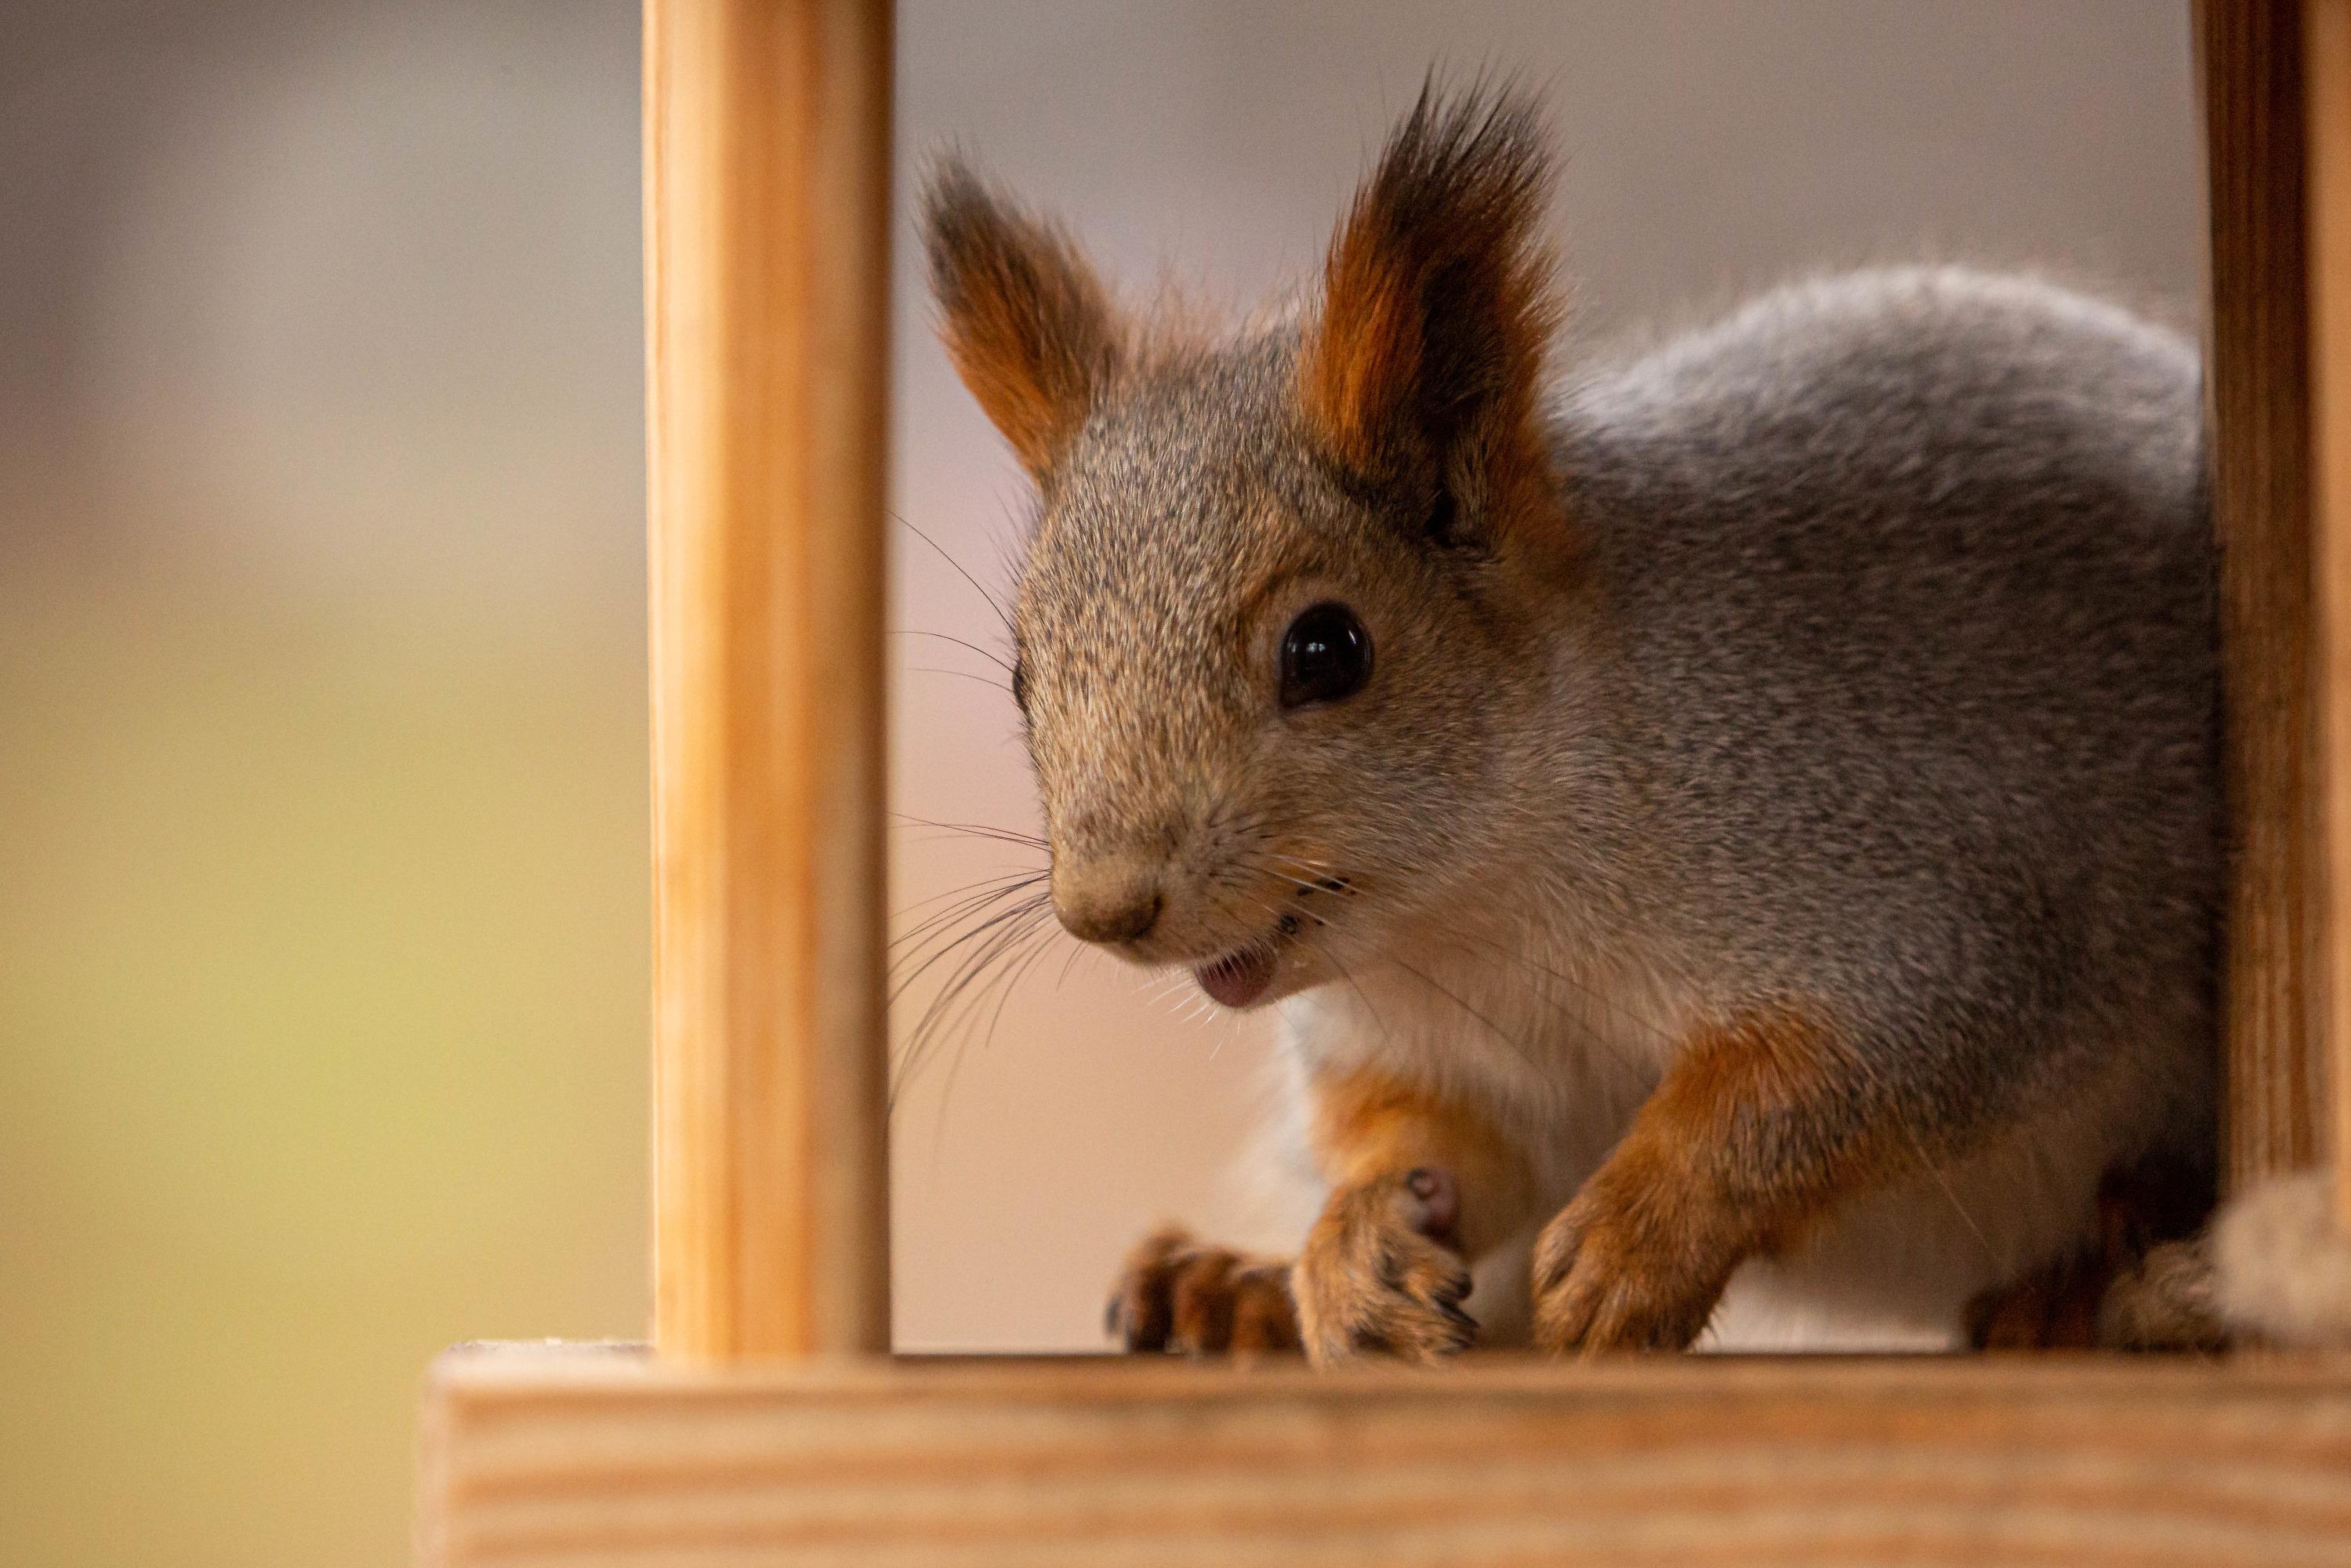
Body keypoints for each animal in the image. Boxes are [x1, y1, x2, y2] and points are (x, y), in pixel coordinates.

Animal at [916, 85, 2219, 1363]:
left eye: (1326, 651)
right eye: (1023, 676)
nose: (1106, 908)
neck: (1481, 911)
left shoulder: (1914, 897)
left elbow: (1810, 1091)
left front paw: (1640, 1236)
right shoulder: (1432, 1057)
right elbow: (1438, 1155)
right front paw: (1354, 1243)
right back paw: (1233, 1289)